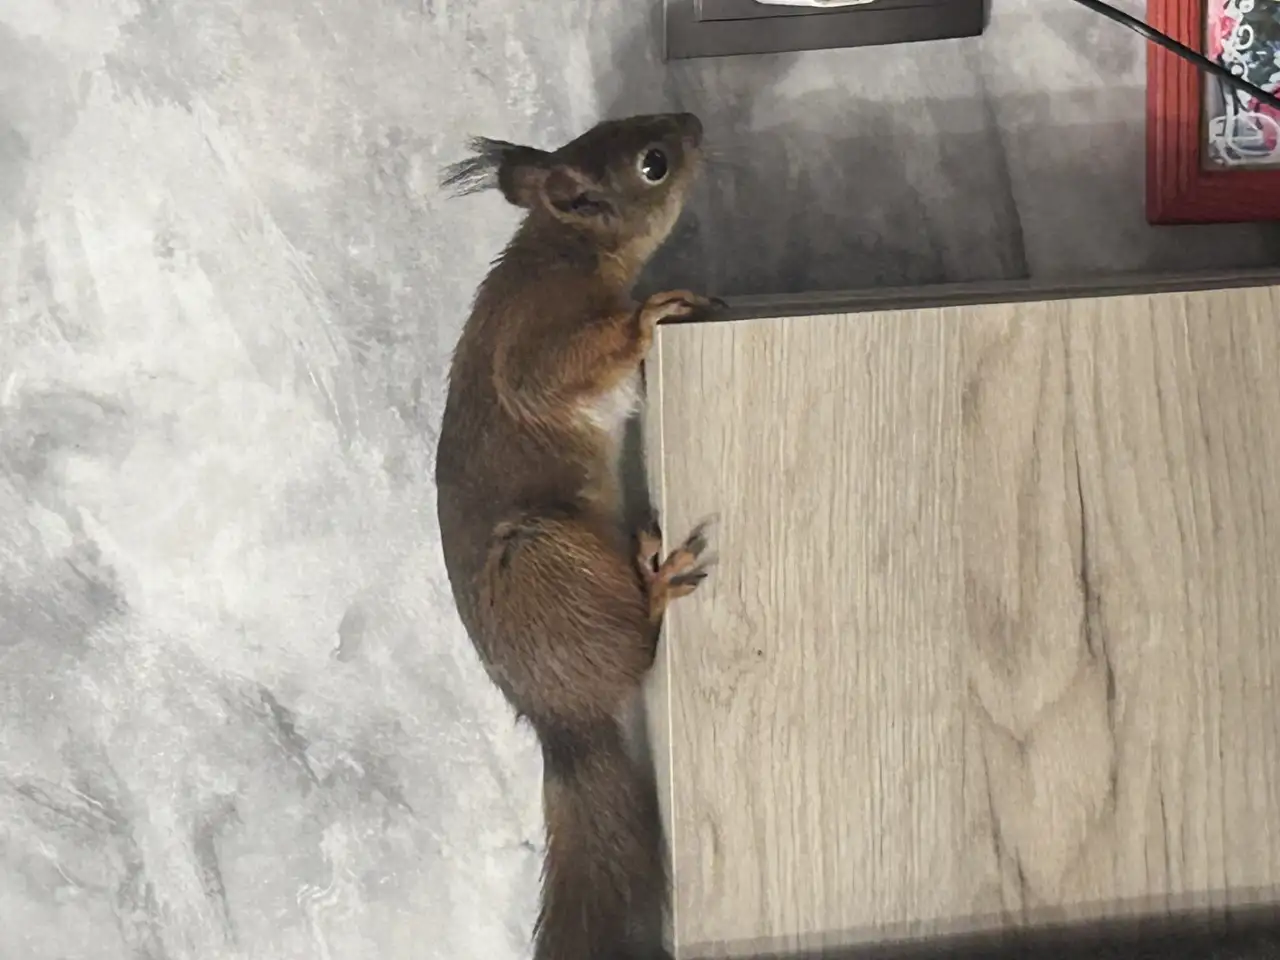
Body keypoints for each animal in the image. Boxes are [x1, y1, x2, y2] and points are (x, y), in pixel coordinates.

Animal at [434, 112, 722, 960]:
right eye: (653, 163)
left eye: (623, 128)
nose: (694, 123)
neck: (561, 247)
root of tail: (565, 726)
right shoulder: (536, 334)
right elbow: (547, 372)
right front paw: (651, 315)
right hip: (543, 556)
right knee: (637, 652)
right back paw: (656, 585)